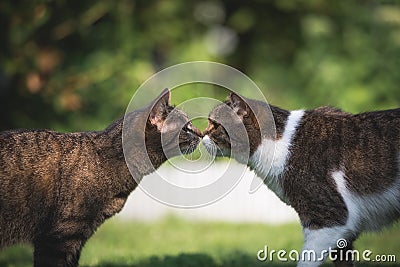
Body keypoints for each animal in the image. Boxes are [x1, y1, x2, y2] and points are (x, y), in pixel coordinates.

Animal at [203, 91, 400, 266]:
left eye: (214, 125)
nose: (200, 135)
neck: (280, 144)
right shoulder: (343, 234)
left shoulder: (329, 219)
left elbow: (306, 260)